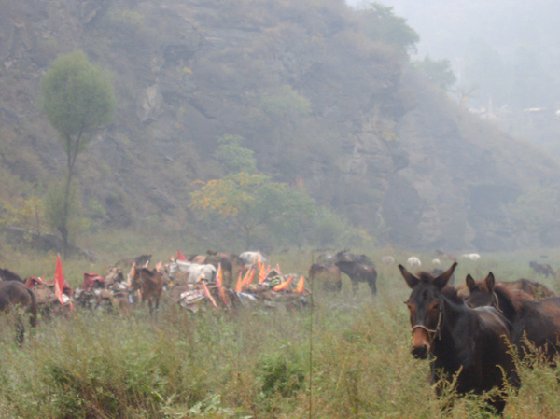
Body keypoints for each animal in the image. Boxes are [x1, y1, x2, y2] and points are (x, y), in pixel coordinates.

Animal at [400, 264, 520, 416]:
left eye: (435, 305)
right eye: (409, 305)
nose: (419, 348)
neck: (449, 348)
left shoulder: (473, 393)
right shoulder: (443, 394)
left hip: (499, 391)